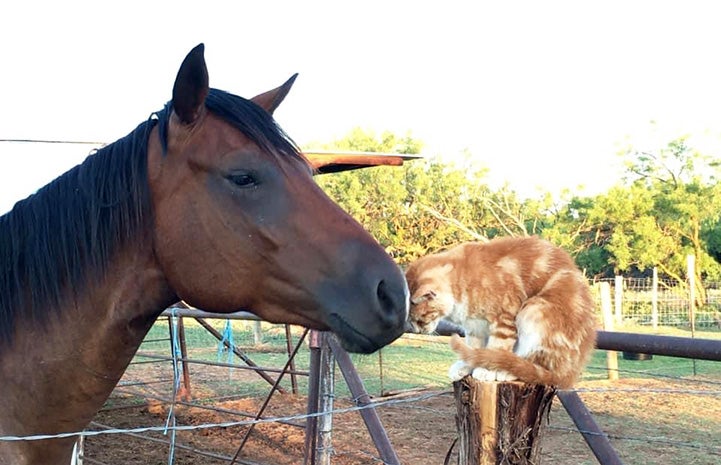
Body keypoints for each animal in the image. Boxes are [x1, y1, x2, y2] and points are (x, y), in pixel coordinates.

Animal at [404, 236, 596, 388]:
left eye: (419, 319)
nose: (416, 330)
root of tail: (570, 374)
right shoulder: (474, 325)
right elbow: (475, 348)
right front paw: (466, 365)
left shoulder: (504, 319)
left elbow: (497, 346)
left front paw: (486, 369)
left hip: (534, 311)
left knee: (540, 364)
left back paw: (510, 371)